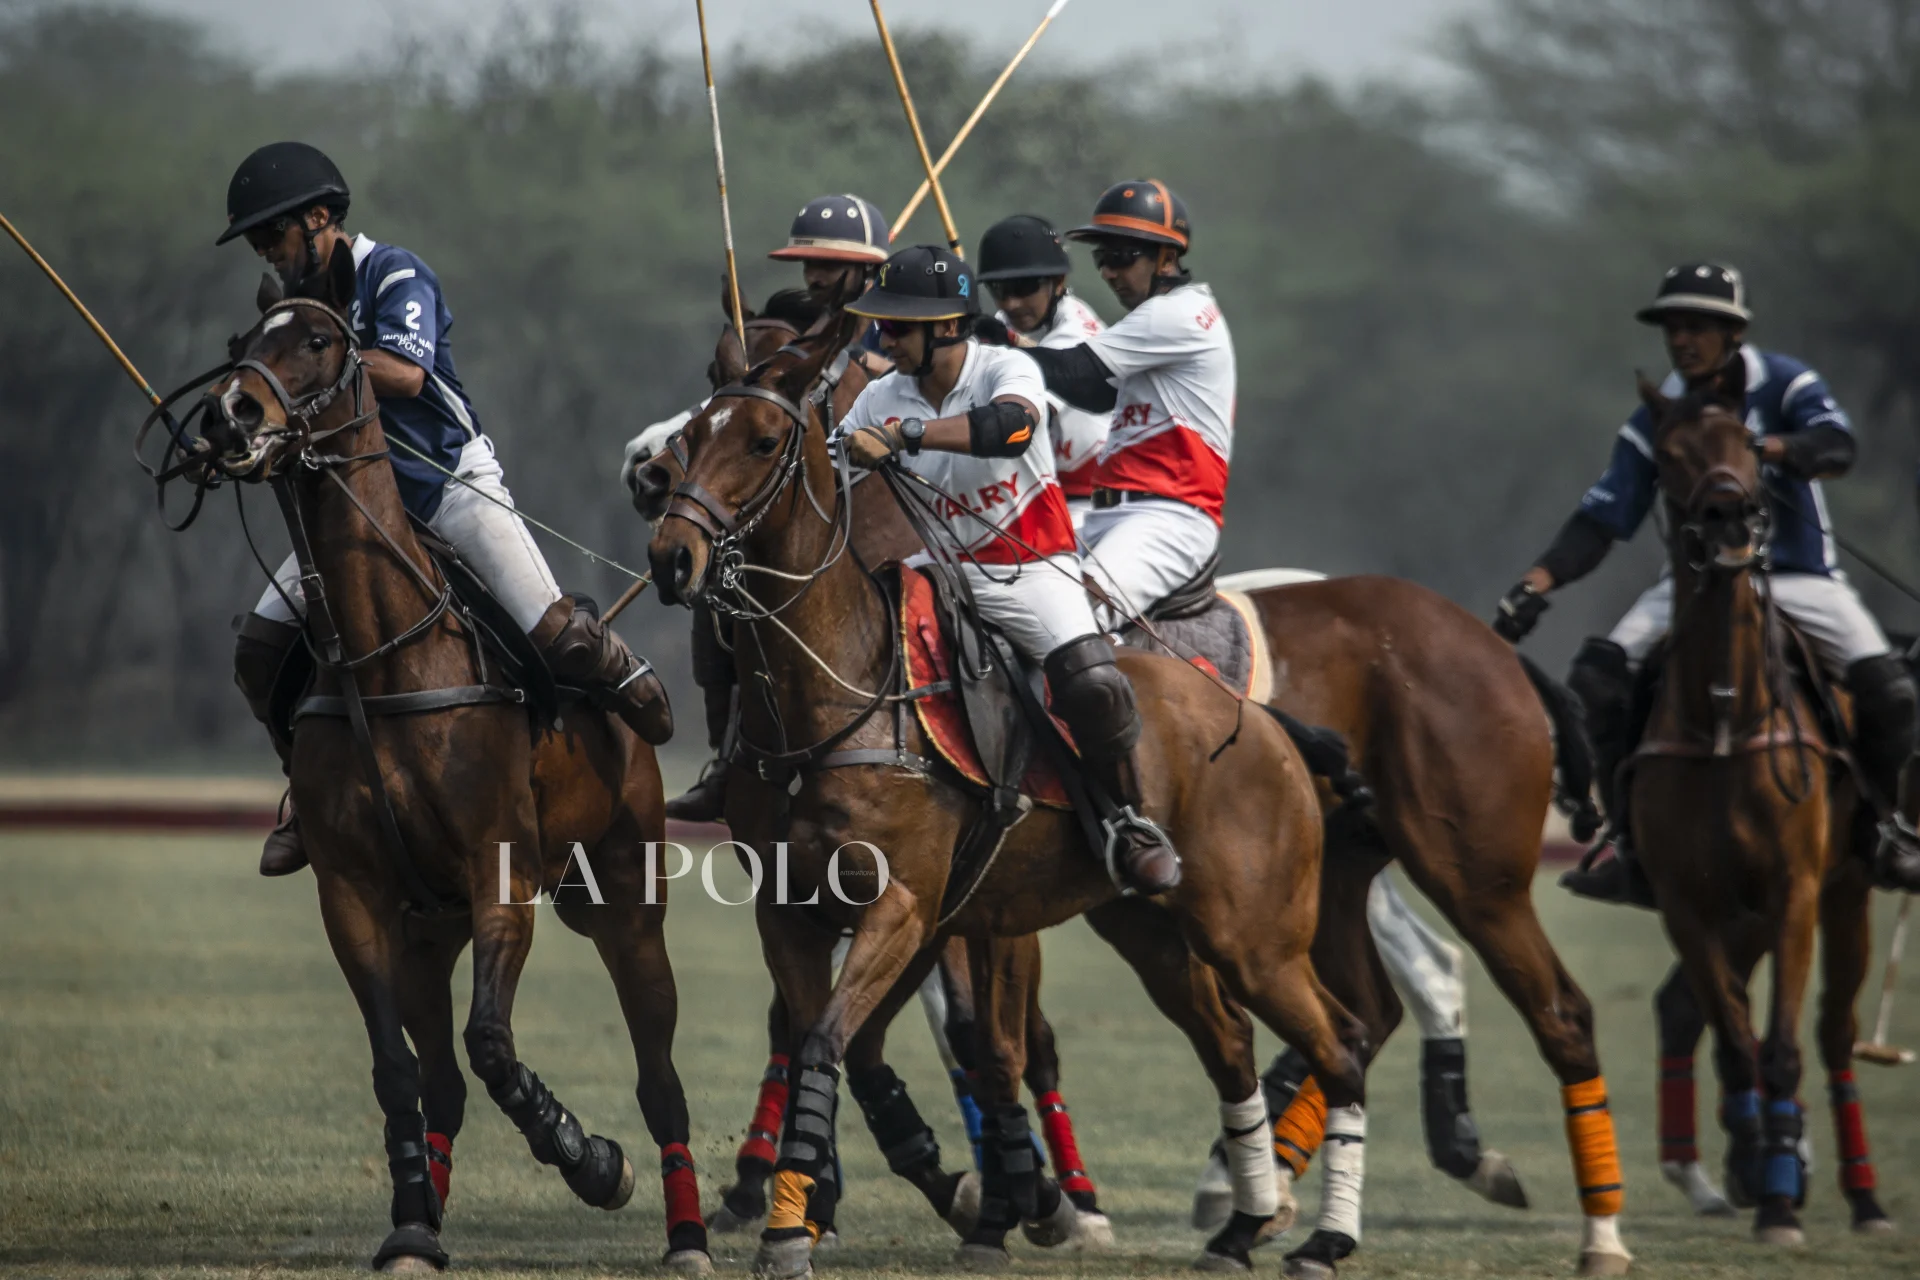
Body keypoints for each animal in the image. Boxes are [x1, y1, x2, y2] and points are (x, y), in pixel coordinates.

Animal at [200, 247, 714, 1274]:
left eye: (321, 342)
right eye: (244, 342)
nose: (231, 411)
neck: (383, 652)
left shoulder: (498, 872)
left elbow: (493, 1044)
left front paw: (590, 1159)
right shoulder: (357, 894)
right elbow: (399, 1069)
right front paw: (409, 1224)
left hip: (626, 901)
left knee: (660, 1076)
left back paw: (687, 1235)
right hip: (427, 930)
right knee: (438, 1078)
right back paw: (424, 1214)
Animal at [652, 330, 1374, 1280]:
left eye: (765, 441)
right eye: (692, 434)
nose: (671, 557)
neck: (842, 688)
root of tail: (1262, 721)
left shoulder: (904, 907)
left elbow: (830, 1042)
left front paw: (803, 1228)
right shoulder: (799, 909)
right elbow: (836, 1042)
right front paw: (807, 1220)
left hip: (1254, 934)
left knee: (1342, 1042)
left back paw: (1325, 1238)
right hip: (1155, 929)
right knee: (1229, 1042)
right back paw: (1242, 1227)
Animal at [1620, 364, 1889, 1243]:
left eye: (1749, 440)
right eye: (1668, 454)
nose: (1731, 519)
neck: (1725, 717)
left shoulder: (1794, 891)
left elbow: (1781, 1047)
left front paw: (1778, 1199)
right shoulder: (1690, 902)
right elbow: (1738, 1042)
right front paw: (1762, 1164)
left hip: (1844, 892)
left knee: (1834, 1034)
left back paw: (1863, 1195)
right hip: (1740, 917)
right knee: (1692, 1010)